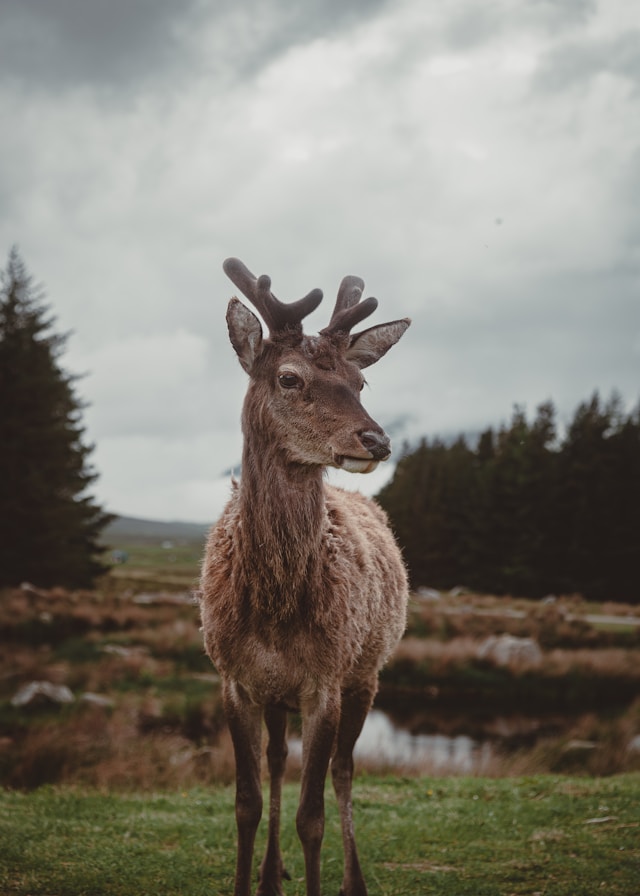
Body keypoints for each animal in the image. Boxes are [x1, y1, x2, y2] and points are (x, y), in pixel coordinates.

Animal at [199, 257, 411, 896]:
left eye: (360, 382)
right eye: (289, 378)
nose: (376, 439)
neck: (272, 609)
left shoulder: (325, 681)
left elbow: (311, 815)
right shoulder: (235, 679)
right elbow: (245, 803)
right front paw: (249, 879)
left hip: (366, 673)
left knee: (344, 769)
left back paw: (353, 881)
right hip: (278, 697)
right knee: (276, 759)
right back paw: (273, 874)